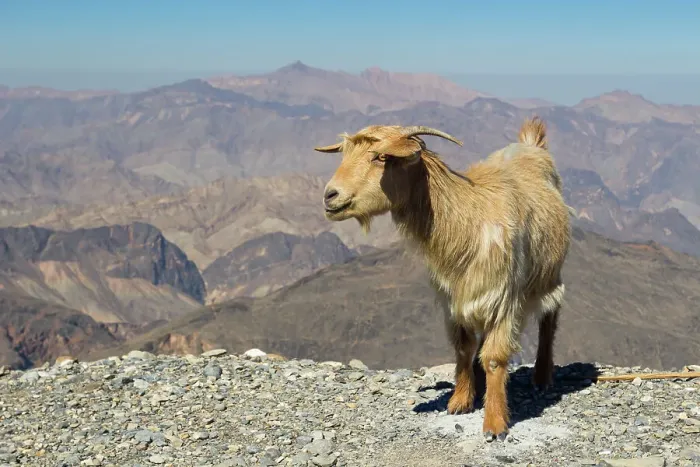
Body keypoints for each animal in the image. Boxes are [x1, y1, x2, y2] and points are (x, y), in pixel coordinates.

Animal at [314, 117, 571, 440]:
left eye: (382, 157)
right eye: (345, 154)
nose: (330, 195)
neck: (467, 221)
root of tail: (531, 144)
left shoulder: (503, 298)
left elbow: (495, 358)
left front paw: (495, 424)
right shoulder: (453, 299)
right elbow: (463, 348)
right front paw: (460, 401)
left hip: (551, 275)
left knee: (550, 319)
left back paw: (542, 376)